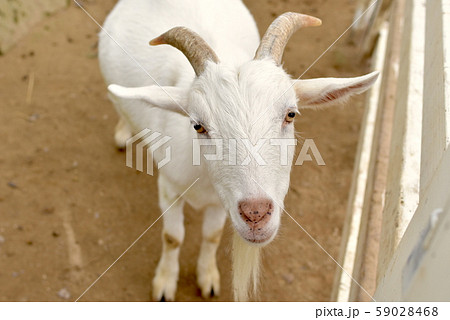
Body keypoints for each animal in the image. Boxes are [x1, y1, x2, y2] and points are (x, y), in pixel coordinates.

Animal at [99, 0, 380, 302]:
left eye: (291, 114)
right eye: (198, 125)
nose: (256, 214)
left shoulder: (221, 201)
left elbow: (211, 235)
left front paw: (207, 277)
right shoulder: (169, 187)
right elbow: (172, 237)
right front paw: (165, 283)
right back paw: (123, 132)